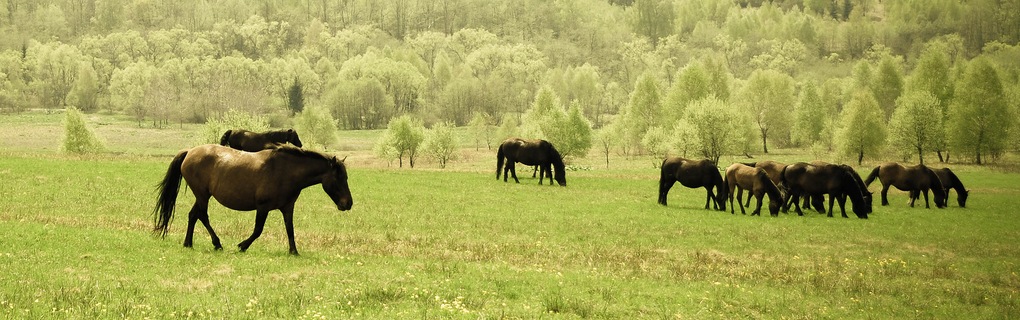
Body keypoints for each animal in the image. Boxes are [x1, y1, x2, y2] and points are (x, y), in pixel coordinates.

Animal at [151, 144, 354, 254]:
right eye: (339, 178)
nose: (348, 203)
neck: (285, 171)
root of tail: (190, 151)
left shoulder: (288, 207)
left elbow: (290, 230)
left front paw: (294, 251)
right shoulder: (262, 207)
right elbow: (258, 230)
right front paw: (242, 246)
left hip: (202, 195)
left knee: (194, 215)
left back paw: (189, 243)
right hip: (202, 195)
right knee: (201, 215)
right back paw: (216, 243)